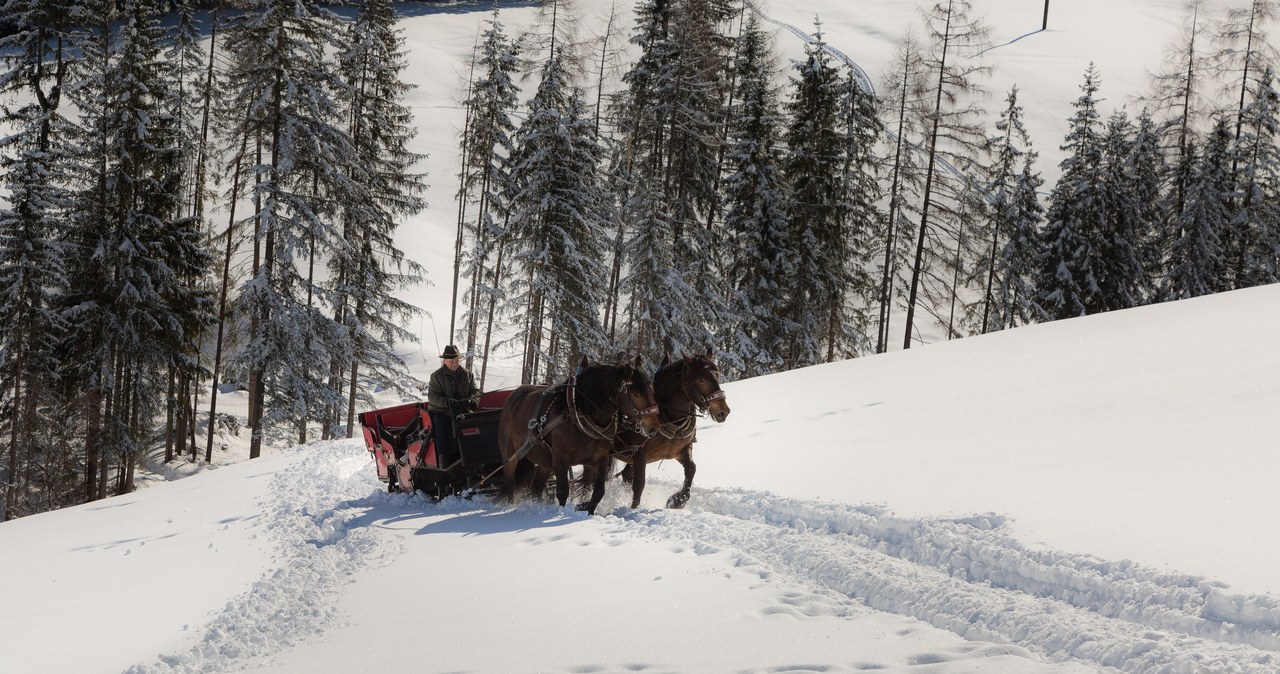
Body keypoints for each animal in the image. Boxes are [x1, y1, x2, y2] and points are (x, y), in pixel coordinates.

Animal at [496, 355, 660, 514]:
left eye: (652, 390)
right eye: (636, 394)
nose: (654, 427)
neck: (580, 414)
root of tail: (514, 395)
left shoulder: (600, 460)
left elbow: (598, 492)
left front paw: (584, 508)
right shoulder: (560, 460)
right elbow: (563, 492)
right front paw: (563, 513)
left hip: (545, 461)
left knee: (536, 488)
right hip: (510, 454)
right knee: (510, 481)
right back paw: (509, 506)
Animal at [611, 352, 732, 506]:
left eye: (717, 375)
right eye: (701, 379)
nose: (723, 411)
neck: (667, 416)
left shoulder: (681, 449)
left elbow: (691, 469)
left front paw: (677, 500)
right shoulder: (639, 455)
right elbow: (639, 485)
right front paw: (633, 508)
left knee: (626, 475)